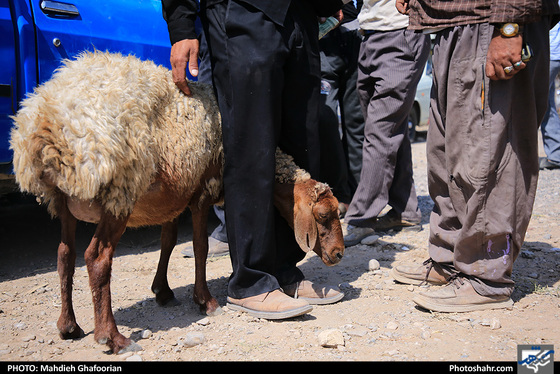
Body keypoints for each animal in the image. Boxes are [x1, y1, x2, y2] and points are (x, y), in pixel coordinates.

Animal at [8, 50, 344, 354]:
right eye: (323, 215)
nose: (339, 254)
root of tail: (45, 123)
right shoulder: (203, 191)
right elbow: (200, 247)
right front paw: (205, 301)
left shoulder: (173, 195)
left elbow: (167, 242)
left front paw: (163, 291)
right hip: (119, 192)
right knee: (96, 259)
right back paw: (112, 338)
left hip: (62, 201)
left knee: (65, 255)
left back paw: (69, 326)